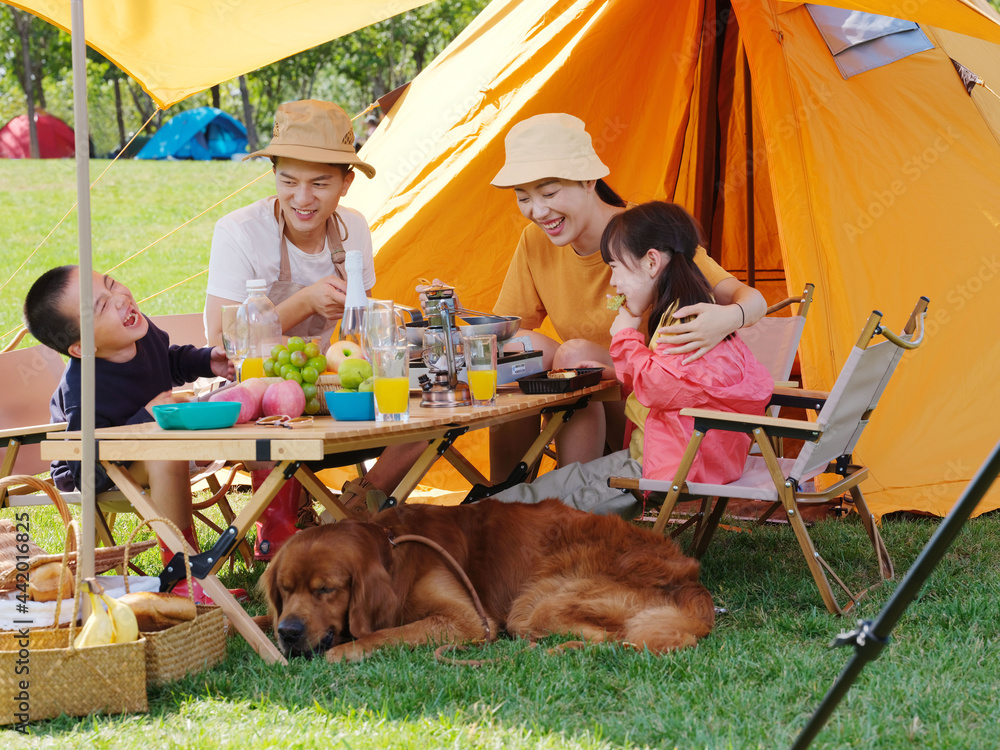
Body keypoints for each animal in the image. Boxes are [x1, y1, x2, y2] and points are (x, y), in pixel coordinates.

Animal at [258, 500, 712, 664]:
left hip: (534, 605)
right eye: (285, 590)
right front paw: (264, 626)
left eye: (325, 589)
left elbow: (384, 634)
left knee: (609, 637)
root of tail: (691, 581)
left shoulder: (468, 621)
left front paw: (345, 650)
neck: (392, 551)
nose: (289, 632)